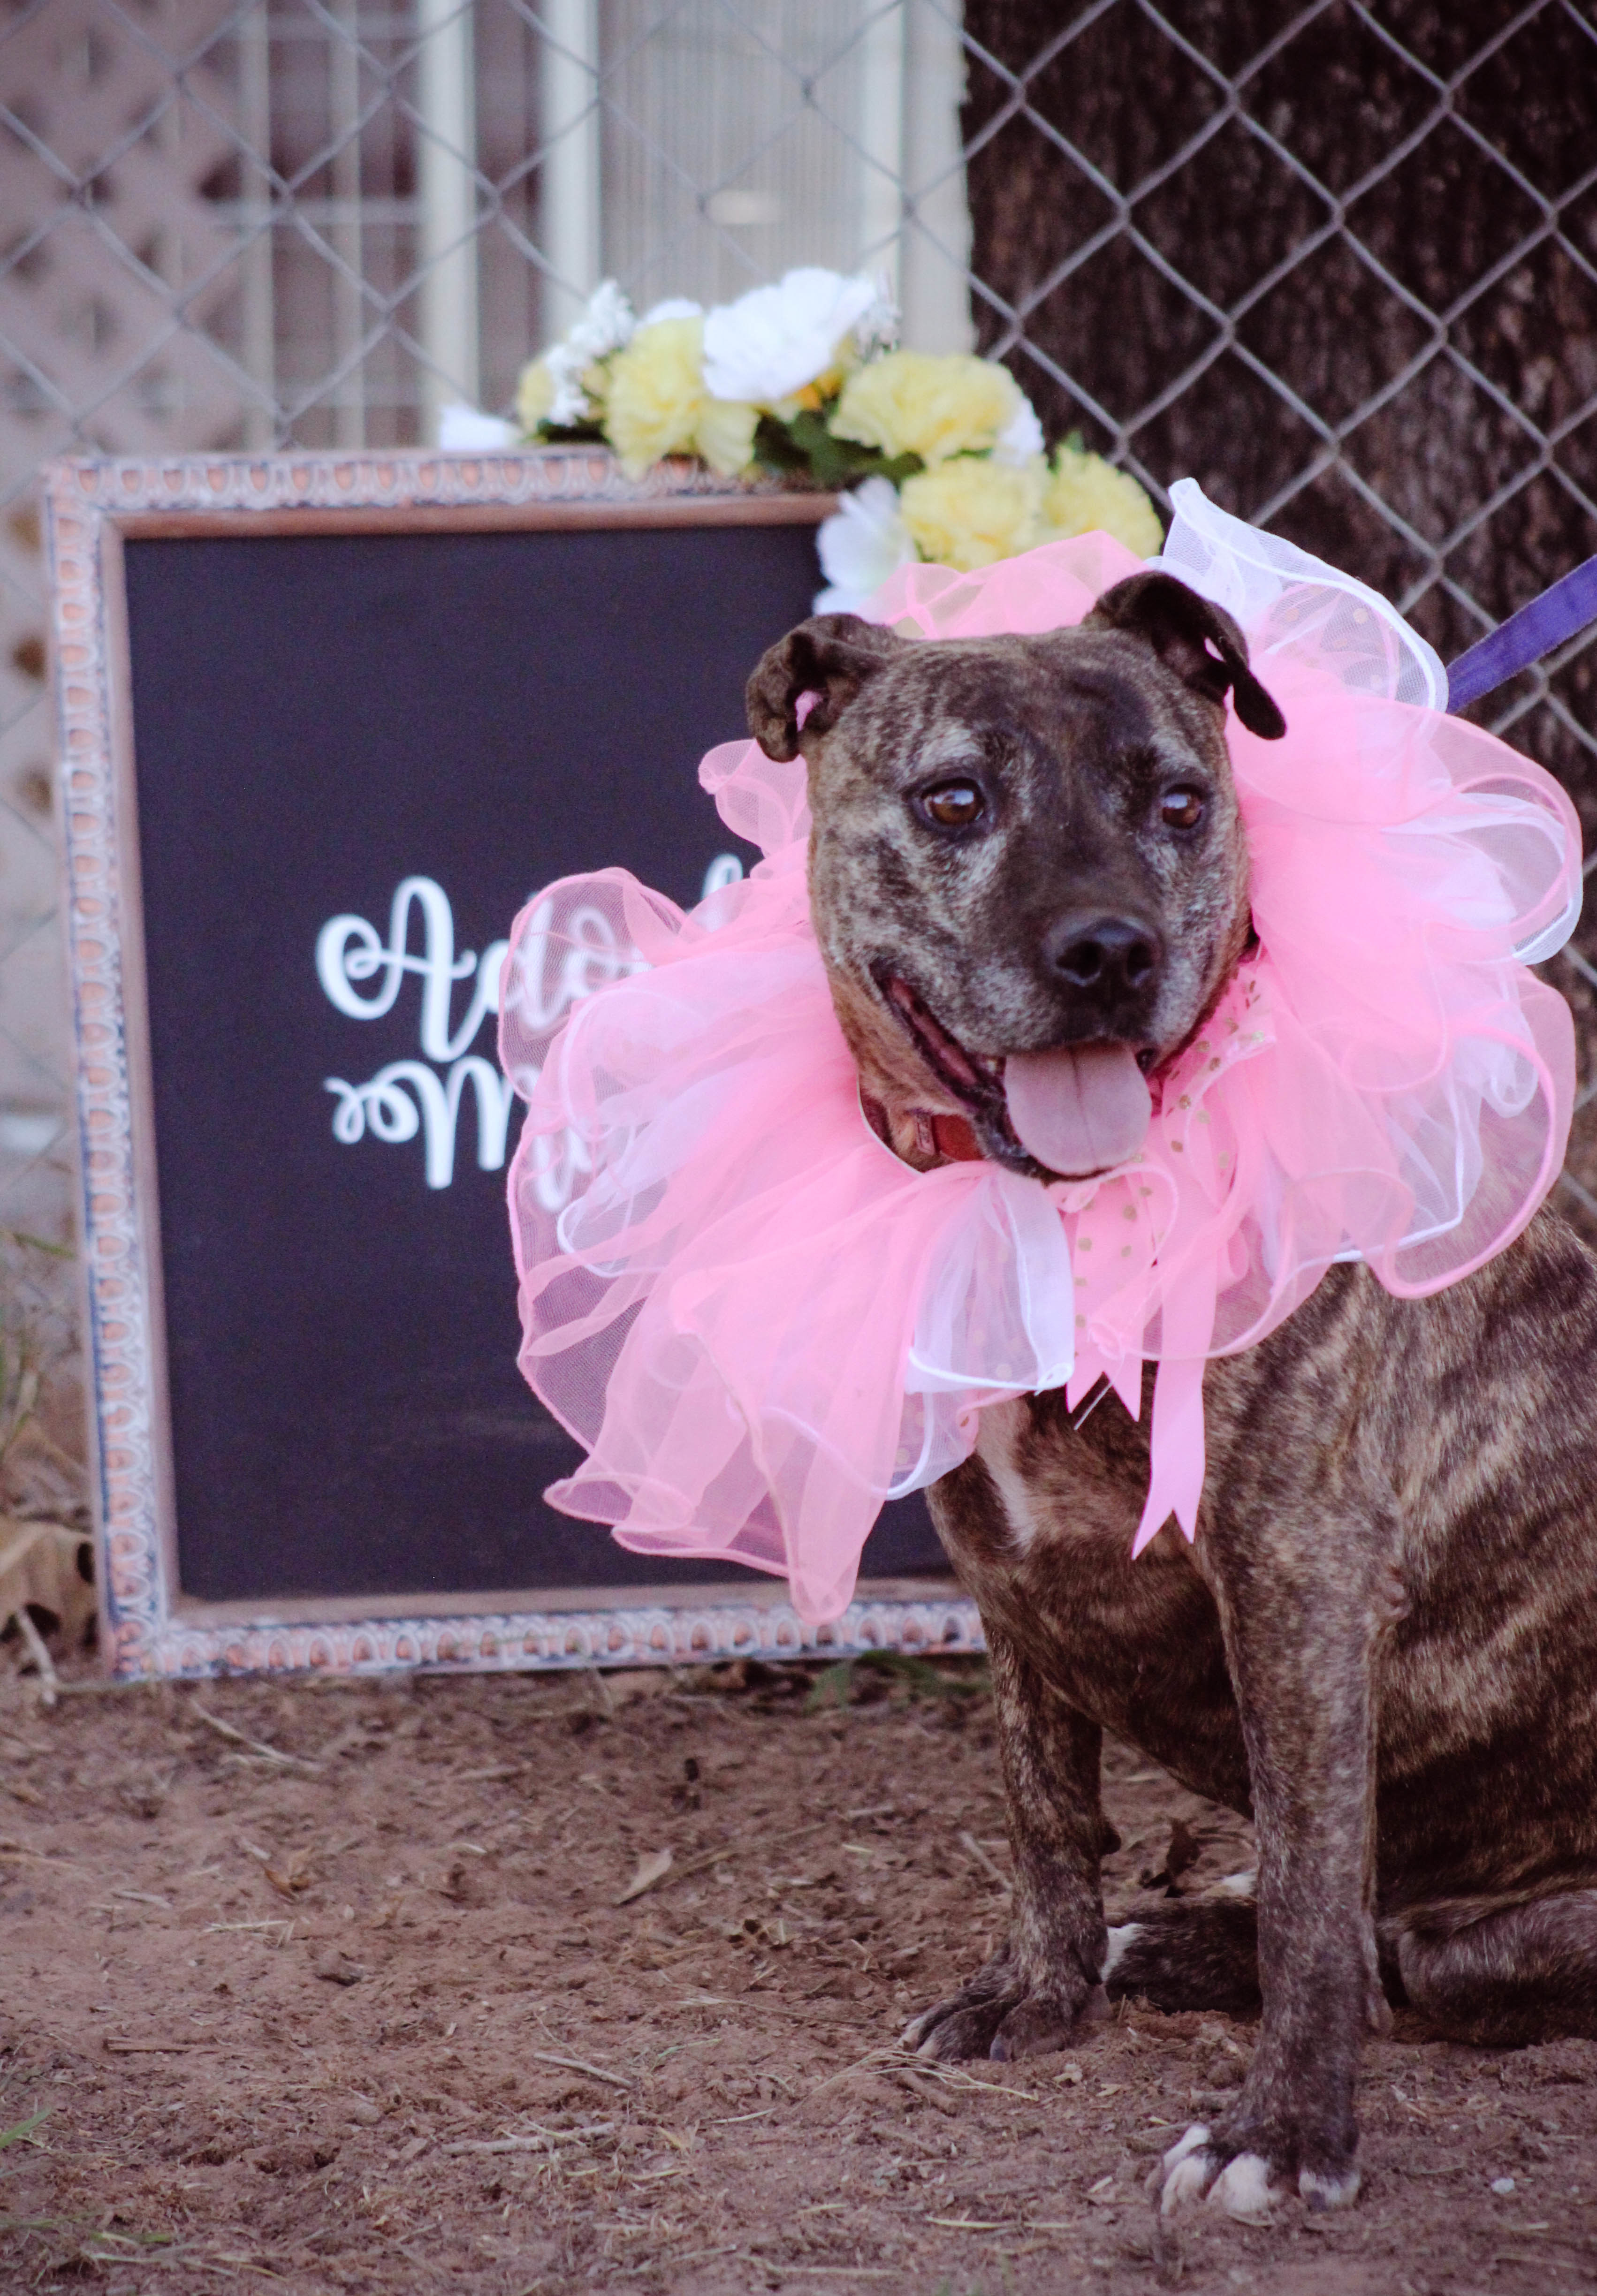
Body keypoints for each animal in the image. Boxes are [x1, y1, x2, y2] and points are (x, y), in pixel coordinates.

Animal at [744, 574, 1597, 2222]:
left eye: (1180, 803)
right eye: (954, 799)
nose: (1106, 949)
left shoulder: (1296, 1569)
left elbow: (1318, 1885)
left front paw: (1286, 2129)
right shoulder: (1002, 1566)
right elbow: (1040, 1804)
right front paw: (1040, 1988)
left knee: (1407, 1946)